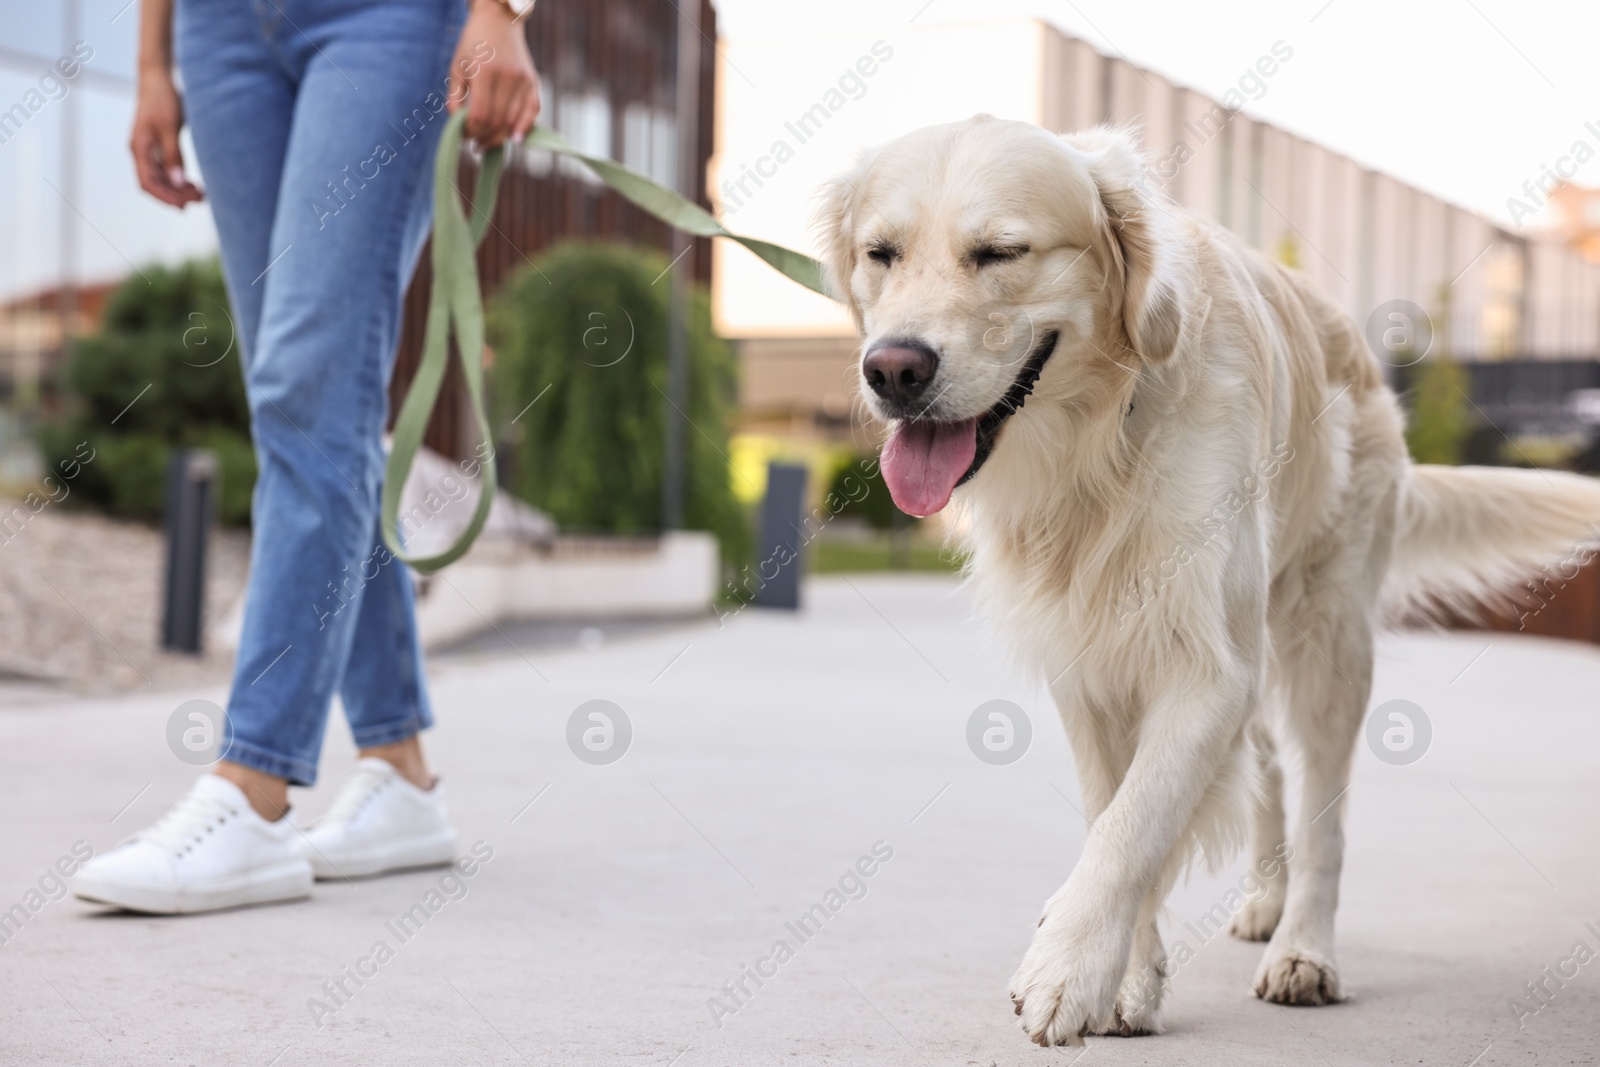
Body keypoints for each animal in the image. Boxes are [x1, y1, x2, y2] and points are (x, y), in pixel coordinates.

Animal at [819, 115, 1600, 1043]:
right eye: (881, 253)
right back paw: (1265, 898)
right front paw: (1127, 971)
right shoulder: (1090, 660)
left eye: (1001, 252)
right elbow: (1116, 807)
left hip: (1328, 638)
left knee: (1323, 807)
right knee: (1263, 769)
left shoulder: (1207, 663)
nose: (893, 369)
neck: (1100, 444)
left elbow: (1137, 820)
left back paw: (1303, 946)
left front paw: (1071, 966)